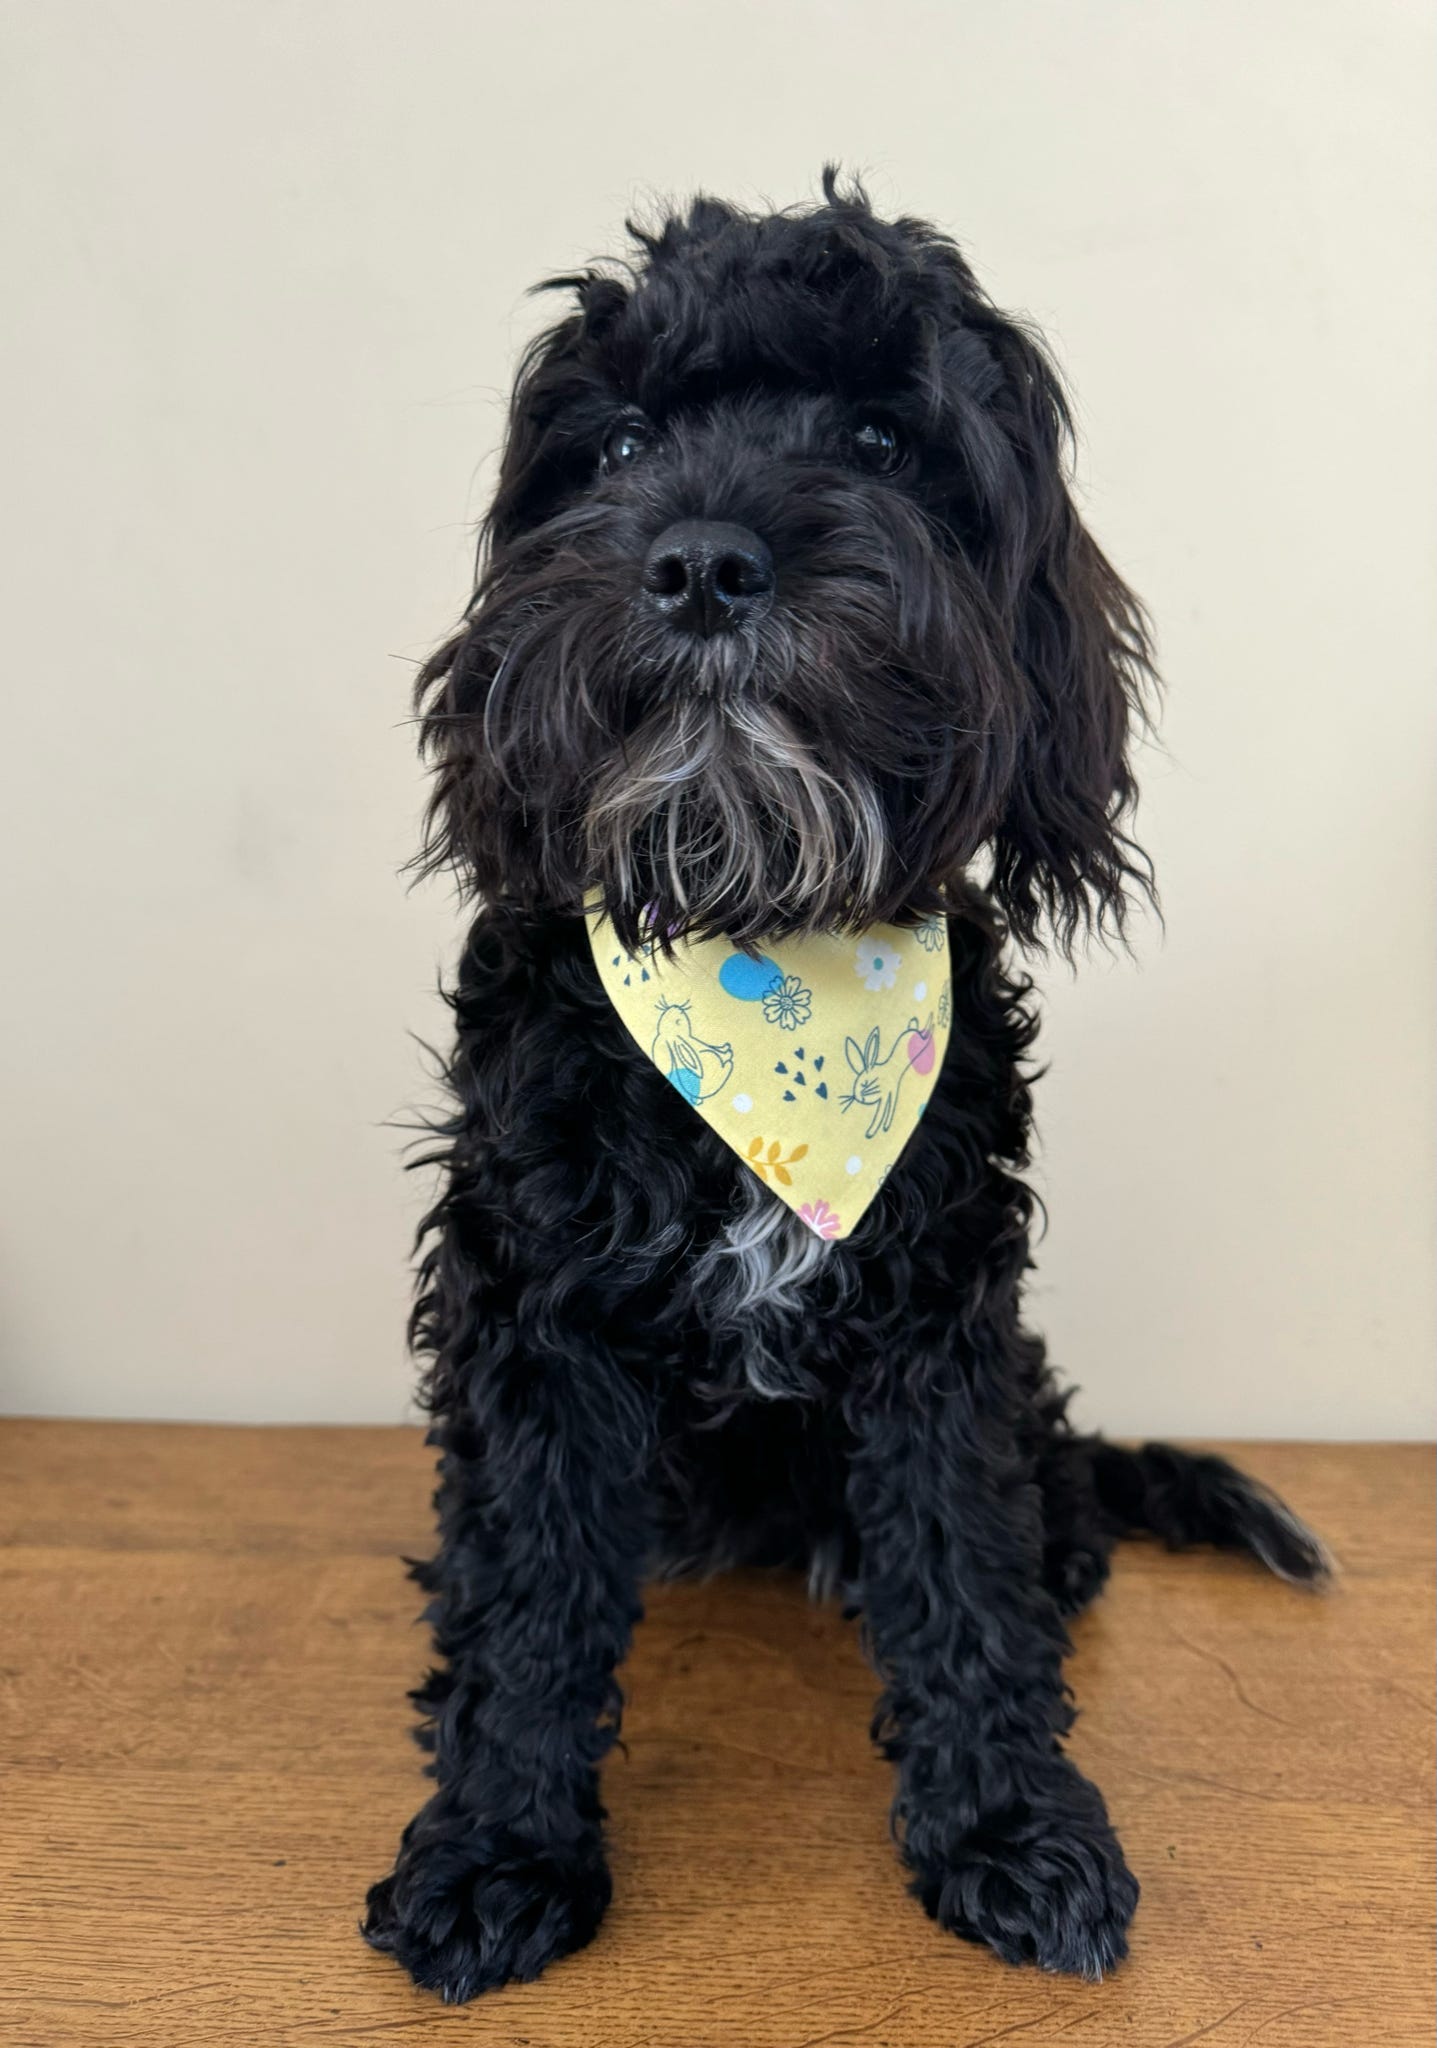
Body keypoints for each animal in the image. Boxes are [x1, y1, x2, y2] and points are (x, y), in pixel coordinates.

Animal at [366, 172, 1334, 1998]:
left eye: (883, 436)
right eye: (616, 446)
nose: (700, 563)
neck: (757, 931)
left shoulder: (940, 1308)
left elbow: (961, 1573)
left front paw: (1008, 1828)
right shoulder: (533, 1308)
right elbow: (527, 1597)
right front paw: (497, 1846)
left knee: (1031, 1496)